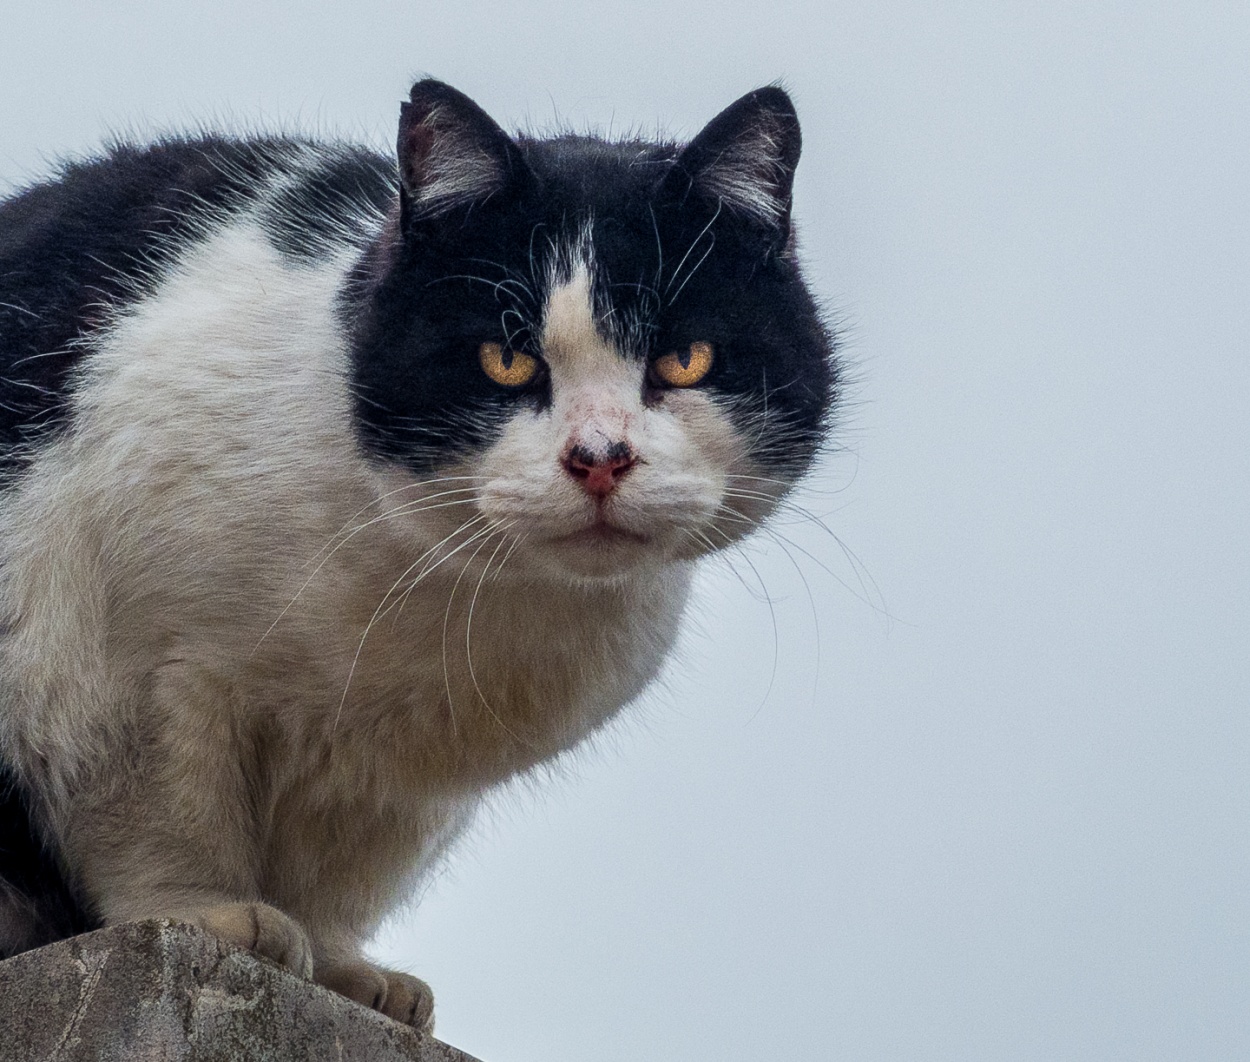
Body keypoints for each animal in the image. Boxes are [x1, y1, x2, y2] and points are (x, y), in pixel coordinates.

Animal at [2, 78, 840, 1024]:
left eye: (686, 358)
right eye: (505, 361)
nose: (599, 457)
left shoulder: (394, 779)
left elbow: (339, 872)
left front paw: (340, 967)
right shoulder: (120, 665)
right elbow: (158, 808)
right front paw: (208, 912)